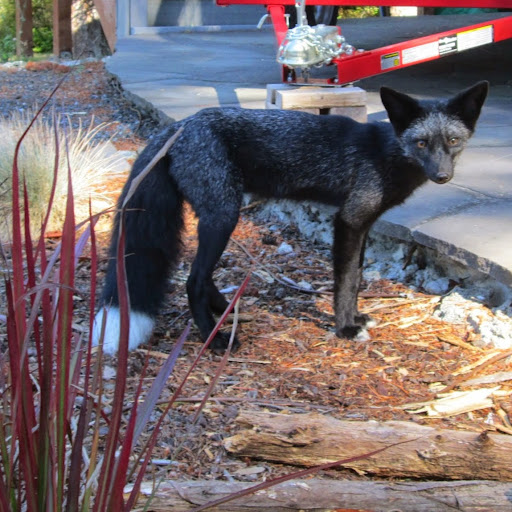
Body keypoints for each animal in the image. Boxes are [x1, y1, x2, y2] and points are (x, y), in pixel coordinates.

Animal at [94, 80, 490, 354]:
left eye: (453, 141)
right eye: (421, 143)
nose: (442, 176)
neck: (386, 152)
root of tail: (180, 125)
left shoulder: (364, 225)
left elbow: (357, 278)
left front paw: (356, 318)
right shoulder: (350, 220)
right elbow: (346, 282)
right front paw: (346, 328)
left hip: (219, 217)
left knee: (203, 278)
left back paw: (224, 308)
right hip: (224, 215)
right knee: (192, 281)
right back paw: (213, 338)